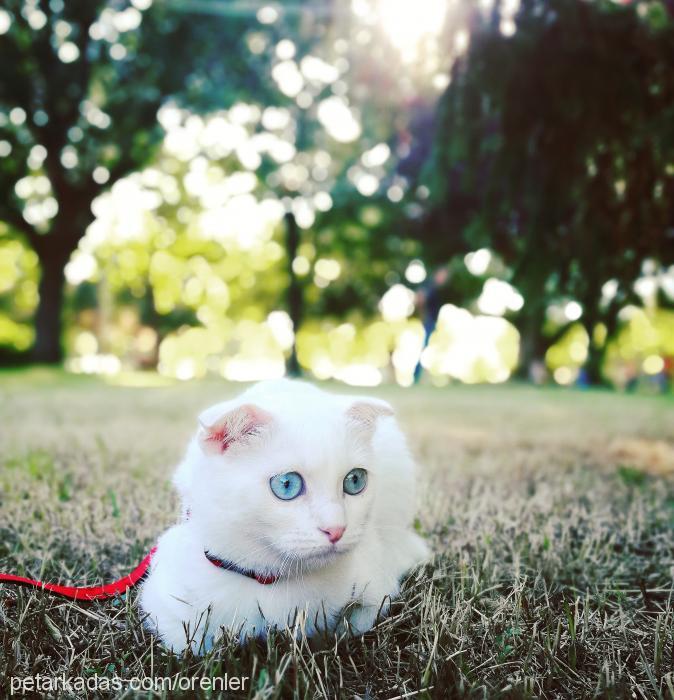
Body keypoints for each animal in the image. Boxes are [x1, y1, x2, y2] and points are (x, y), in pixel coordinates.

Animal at [139, 380, 428, 652]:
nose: (336, 529)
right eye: (287, 484)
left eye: (355, 480)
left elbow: (359, 621)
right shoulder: (162, 603)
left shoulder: (379, 580)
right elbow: (190, 646)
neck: (271, 582)